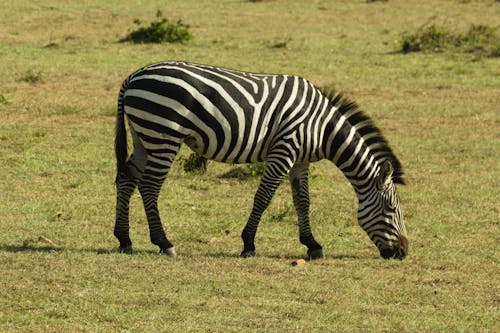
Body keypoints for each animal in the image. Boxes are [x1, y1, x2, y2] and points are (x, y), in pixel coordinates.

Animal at [115, 61, 408, 260]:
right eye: (391, 209)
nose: (403, 252)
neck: (322, 128)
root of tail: (133, 76)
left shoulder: (300, 161)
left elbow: (302, 201)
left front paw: (312, 245)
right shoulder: (285, 149)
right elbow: (264, 197)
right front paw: (248, 244)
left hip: (144, 136)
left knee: (126, 180)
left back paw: (124, 239)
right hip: (163, 135)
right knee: (149, 186)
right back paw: (164, 242)